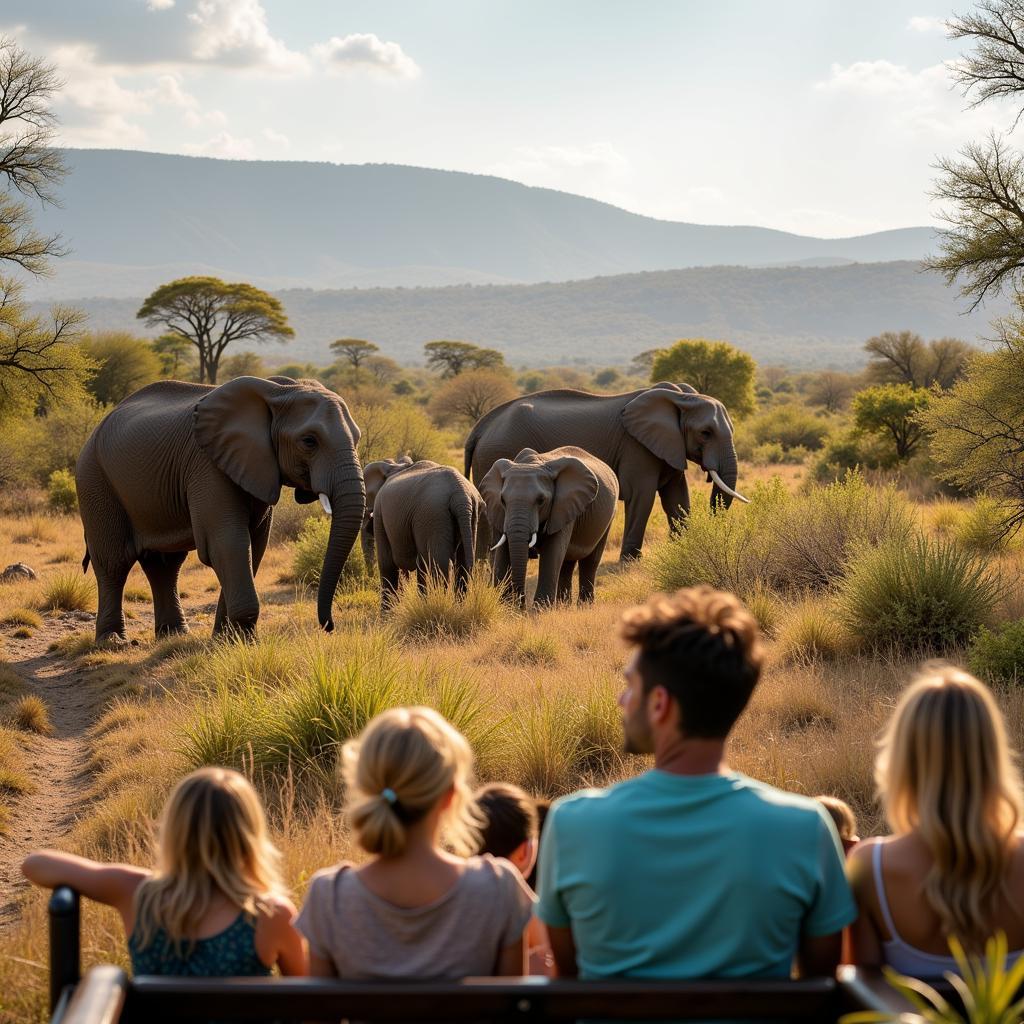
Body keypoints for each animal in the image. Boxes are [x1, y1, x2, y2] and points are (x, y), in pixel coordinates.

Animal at [76, 376, 364, 638]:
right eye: (309, 441)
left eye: (358, 438)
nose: (328, 626)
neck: (280, 390)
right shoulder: (207, 464)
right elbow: (227, 543)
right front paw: (245, 640)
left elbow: (253, 546)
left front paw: (226, 638)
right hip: (95, 480)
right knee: (114, 562)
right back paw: (112, 641)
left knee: (165, 564)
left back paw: (174, 634)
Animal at [364, 458, 483, 606]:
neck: (396, 466)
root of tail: (460, 494)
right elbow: (421, 565)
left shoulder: (379, 511)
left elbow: (387, 564)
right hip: (469, 517)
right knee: (462, 564)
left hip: (433, 515)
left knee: (439, 564)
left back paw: (439, 603)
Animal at [464, 382, 745, 561]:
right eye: (705, 433)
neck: (681, 397)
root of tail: (479, 428)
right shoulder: (636, 447)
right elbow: (642, 496)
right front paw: (630, 560)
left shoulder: (669, 445)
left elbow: (676, 497)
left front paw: (683, 548)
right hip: (494, 453)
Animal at [477, 446, 614, 606]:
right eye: (502, 500)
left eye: (541, 500)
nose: (521, 605)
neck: (530, 464)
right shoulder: (498, 511)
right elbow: (503, 552)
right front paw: (505, 607)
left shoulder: (563, 507)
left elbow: (552, 552)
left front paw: (541, 609)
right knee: (567, 563)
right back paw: (563, 606)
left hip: (607, 518)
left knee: (590, 561)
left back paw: (583, 606)